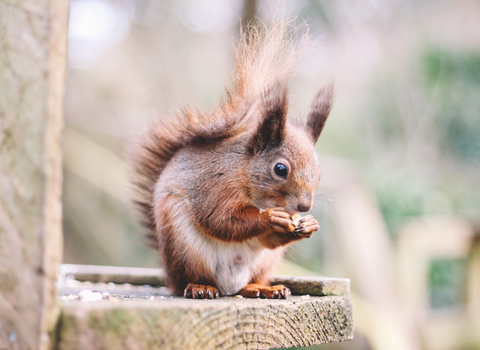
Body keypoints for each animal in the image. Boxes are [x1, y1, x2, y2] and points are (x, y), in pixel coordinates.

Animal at [130, 21, 334, 300]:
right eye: (280, 169)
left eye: (319, 171)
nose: (304, 206)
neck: (244, 172)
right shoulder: (216, 186)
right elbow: (221, 220)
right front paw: (269, 217)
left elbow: (266, 237)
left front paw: (310, 224)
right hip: (183, 246)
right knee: (191, 279)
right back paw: (201, 287)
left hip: (264, 261)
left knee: (251, 276)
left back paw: (263, 288)